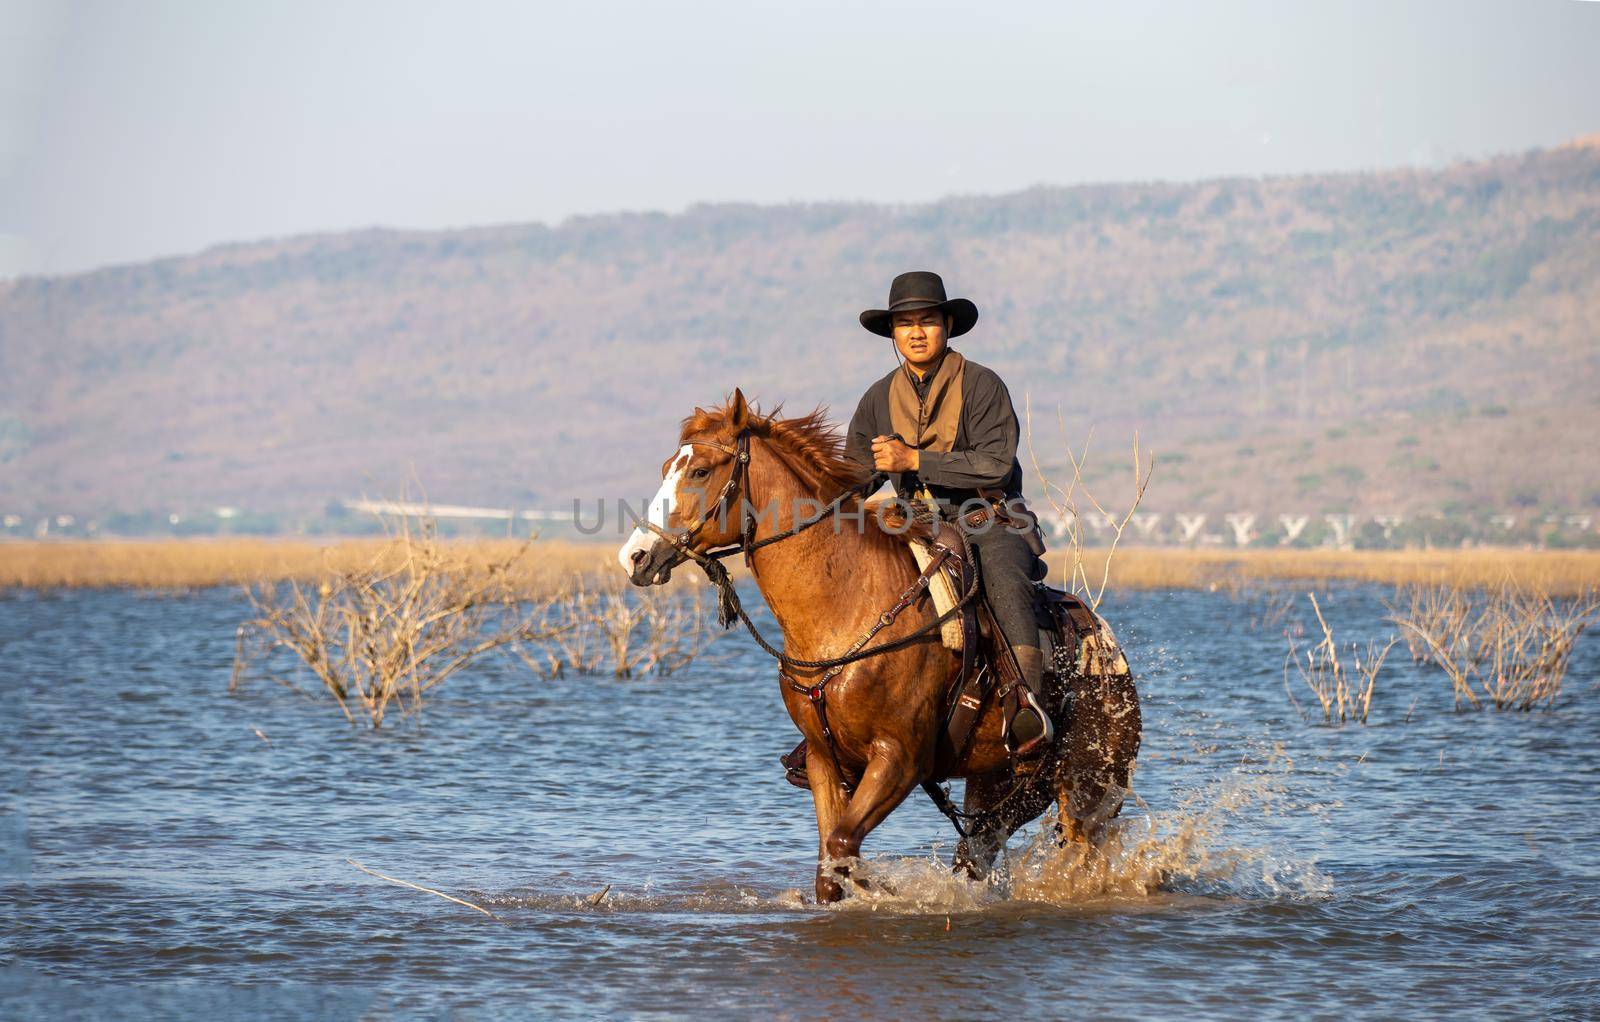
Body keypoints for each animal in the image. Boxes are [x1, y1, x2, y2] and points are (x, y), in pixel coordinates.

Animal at [614, 390, 1139, 902]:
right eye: (668, 467)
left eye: (701, 470)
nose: (635, 556)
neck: (845, 610)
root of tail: (1107, 649)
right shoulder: (825, 760)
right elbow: (831, 865)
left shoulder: (898, 760)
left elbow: (843, 845)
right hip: (1000, 783)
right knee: (978, 851)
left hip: (1085, 790)